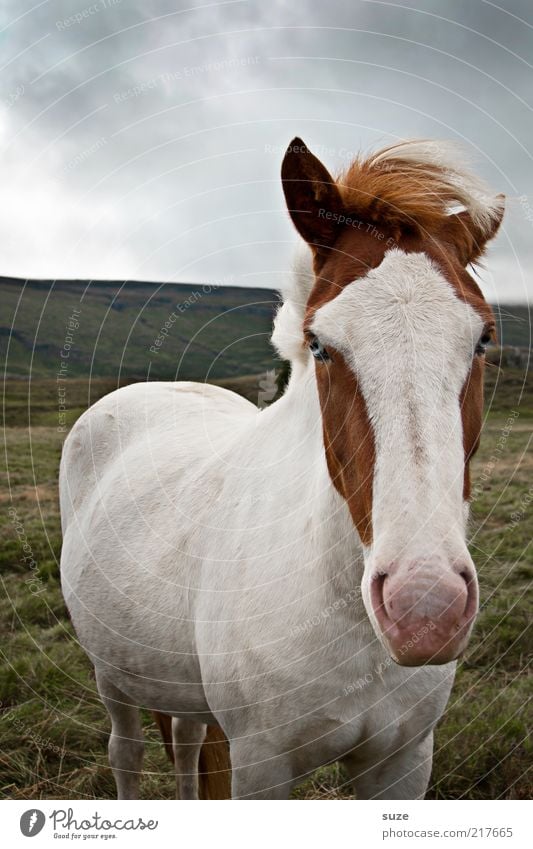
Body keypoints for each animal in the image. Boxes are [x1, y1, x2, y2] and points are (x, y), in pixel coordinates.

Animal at [58, 136, 502, 800]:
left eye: (483, 338)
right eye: (319, 345)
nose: (425, 610)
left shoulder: (402, 760)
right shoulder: (261, 762)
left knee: (185, 742)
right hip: (112, 675)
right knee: (126, 752)